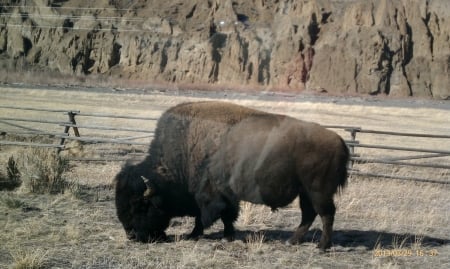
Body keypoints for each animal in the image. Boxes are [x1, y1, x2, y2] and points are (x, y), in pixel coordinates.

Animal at [115, 100, 348, 249]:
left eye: (140, 205)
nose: (132, 235)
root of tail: (338, 141)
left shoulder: (212, 195)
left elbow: (212, 215)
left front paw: (199, 234)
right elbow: (224, 216)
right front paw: (224, 235)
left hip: (317, 191)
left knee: (326, 214)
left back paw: (322, 246)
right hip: (305, 192)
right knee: (309, 215)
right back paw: (293, 241)